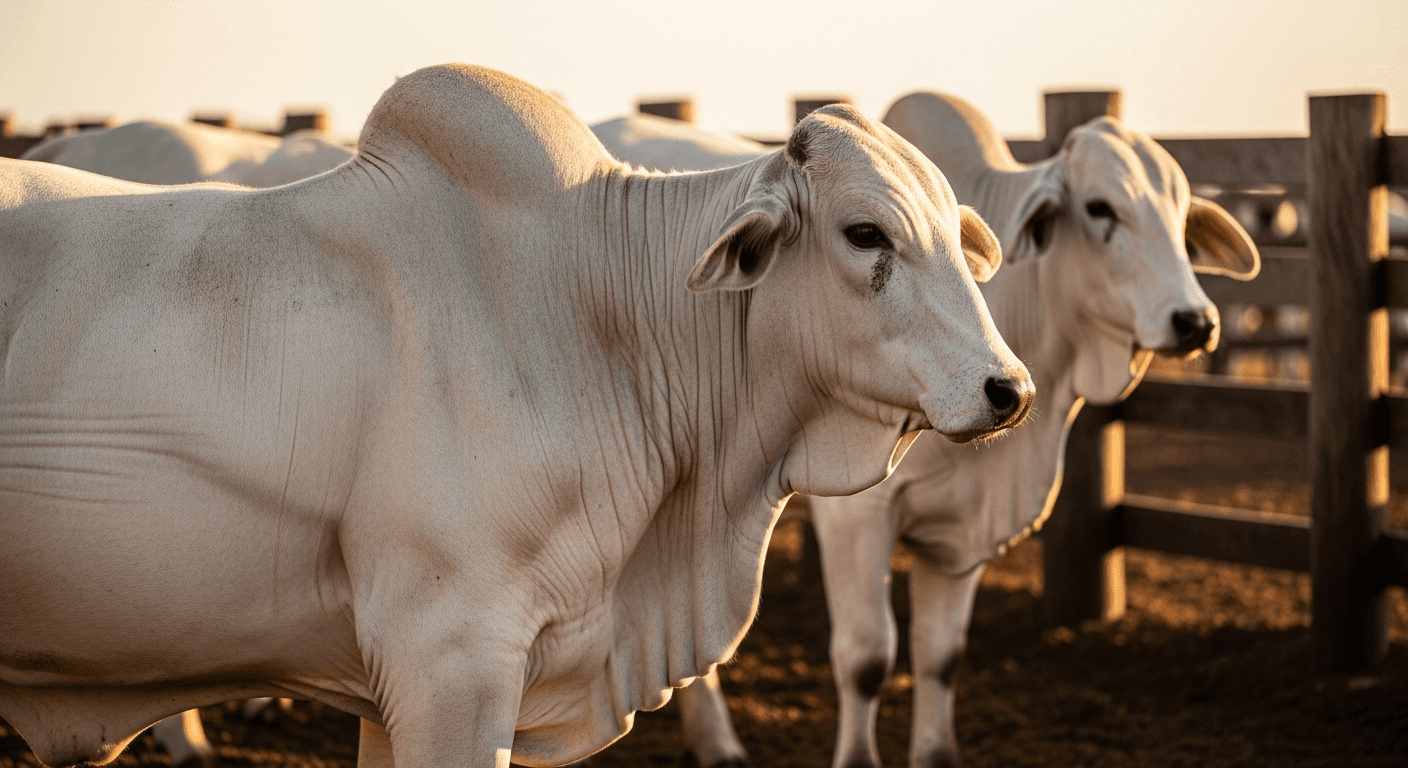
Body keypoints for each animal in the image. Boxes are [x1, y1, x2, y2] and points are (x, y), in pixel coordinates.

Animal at [597, 93, 1259, 767]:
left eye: (1182, 216)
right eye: (1100, 207)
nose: (1195, 320)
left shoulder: (961, 529)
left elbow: (942, 657)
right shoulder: (856, 515)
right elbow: (866, 659)